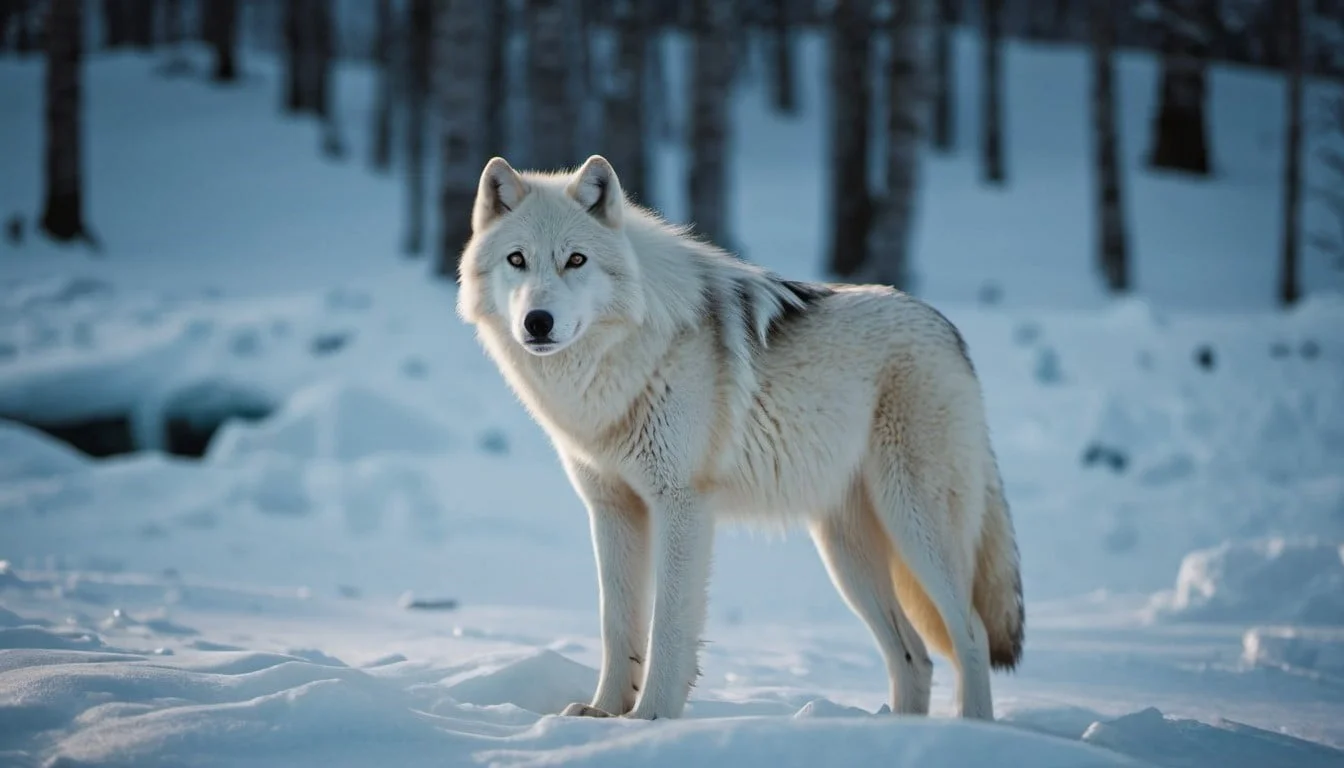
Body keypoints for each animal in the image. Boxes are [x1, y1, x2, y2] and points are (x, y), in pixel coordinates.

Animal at [456, 154, 1025, 721]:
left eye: (575, 260)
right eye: (516, 259)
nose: (538, 322)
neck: (624, 360)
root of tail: (948, 330)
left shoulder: (682, 505)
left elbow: (669, 625)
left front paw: (651, 717)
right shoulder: (612, 508)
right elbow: (616, 623)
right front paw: (603, 713)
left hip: (915, 526)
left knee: (970, 633)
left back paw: (972, 730)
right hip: (847, 555)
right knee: (915, 656)